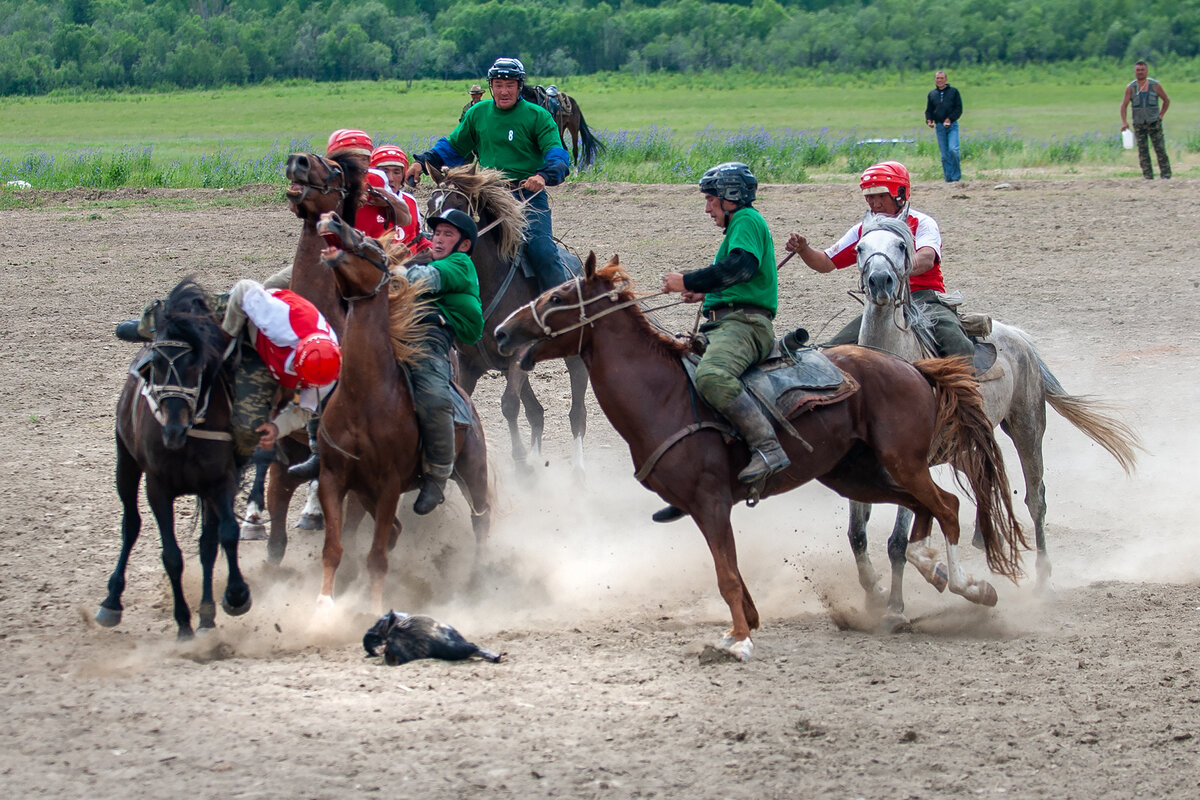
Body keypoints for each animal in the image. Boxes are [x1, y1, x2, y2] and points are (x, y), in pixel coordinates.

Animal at [99, 278, 255, 642]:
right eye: (156, 364)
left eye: (197, 364)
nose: (173, 430)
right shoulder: (158, 489)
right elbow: (171, 555)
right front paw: (183, 622)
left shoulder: (220, 481)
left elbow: (226, 534)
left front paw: (236, 594)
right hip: (125, 465)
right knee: (130, 525)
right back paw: (112, 601)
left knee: (208, 544)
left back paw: (208, 614)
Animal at [314, 212, 492, 614]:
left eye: (372, 245)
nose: (331, 218)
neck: (364, 397)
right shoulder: (334, 477)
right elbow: (333, 547)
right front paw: (323, 605)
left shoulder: (389, 485)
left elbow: (377, 556)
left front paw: (374, 609)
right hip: (362, 491)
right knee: (395, 530)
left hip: (473, 470)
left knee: (482, 520)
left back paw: (478, 581)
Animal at [427, 163, 590, 474]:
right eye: (431, 207)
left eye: (457, 207)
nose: (435, 247)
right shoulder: (469, 362)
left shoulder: (517, 354)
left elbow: (509, 405)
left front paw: (521, 463)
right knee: (537, 412)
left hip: (574, 357)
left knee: (577, 413)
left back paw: (578, 471)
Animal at [492, 253, 1027, 662]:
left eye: (557, 298)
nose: (499, 333)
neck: (663, 394)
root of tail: (914, 367)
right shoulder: (704, 509)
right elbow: (732, 573)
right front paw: (741, 627)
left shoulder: (710, 503)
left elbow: (727, 575)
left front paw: (741, 642)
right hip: (855, 474)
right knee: (922, 510)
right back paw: (933, 571)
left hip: (902, 462)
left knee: (946, 507)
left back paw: (968, 585)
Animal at [849, 212, 1137, 623]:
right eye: (859, 247)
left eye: (902, 246)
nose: (880, 282)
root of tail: (1018, 336)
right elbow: (859, 535)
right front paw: (876, 595)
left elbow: (898, 542)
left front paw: (896, 608)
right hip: (969, 444)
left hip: (1027, 428)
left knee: (1036, 499)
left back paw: (1042, 582)